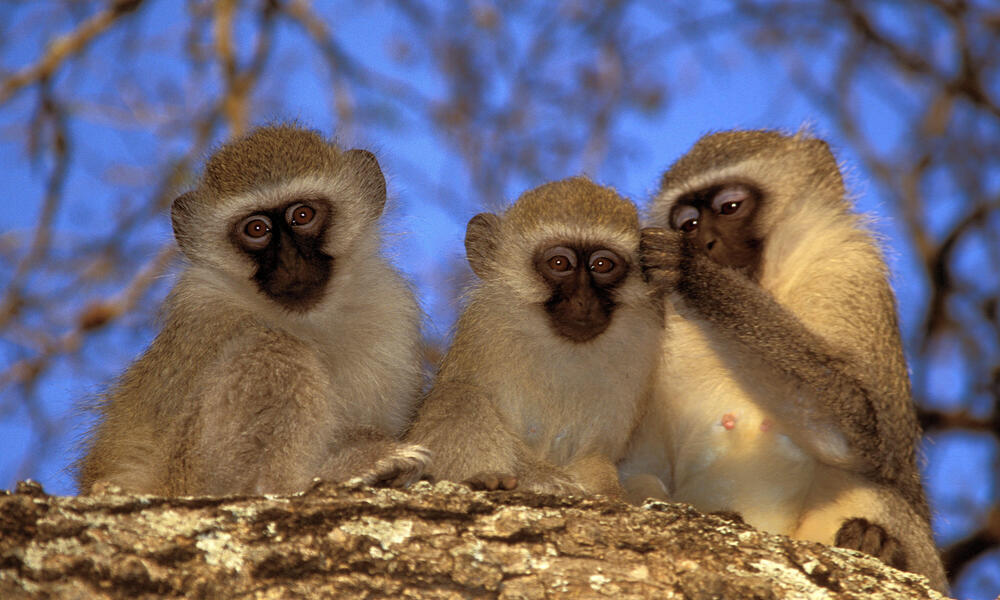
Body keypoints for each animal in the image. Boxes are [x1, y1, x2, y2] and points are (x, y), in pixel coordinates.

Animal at [75, 124, 426, 494]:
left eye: (302, 215)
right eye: (257, 229)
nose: (289, 262)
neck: (308, 322)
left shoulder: (391, 306)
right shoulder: (206, 307)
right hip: (186, 477)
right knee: (272, 348)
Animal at [406, 178, 664, 496]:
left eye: (602, 265)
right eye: (559, 263)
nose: (584, 301)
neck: (564, 348)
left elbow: (596, 460)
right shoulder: (484, 332)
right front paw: (546, 480)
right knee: (458, 395)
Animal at [624, 129, 944, 592]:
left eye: (730, 207)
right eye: (689, 223)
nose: (704, 244)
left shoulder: (850, 267)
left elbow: (865, 428)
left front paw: (694, 273)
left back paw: (877, 545)